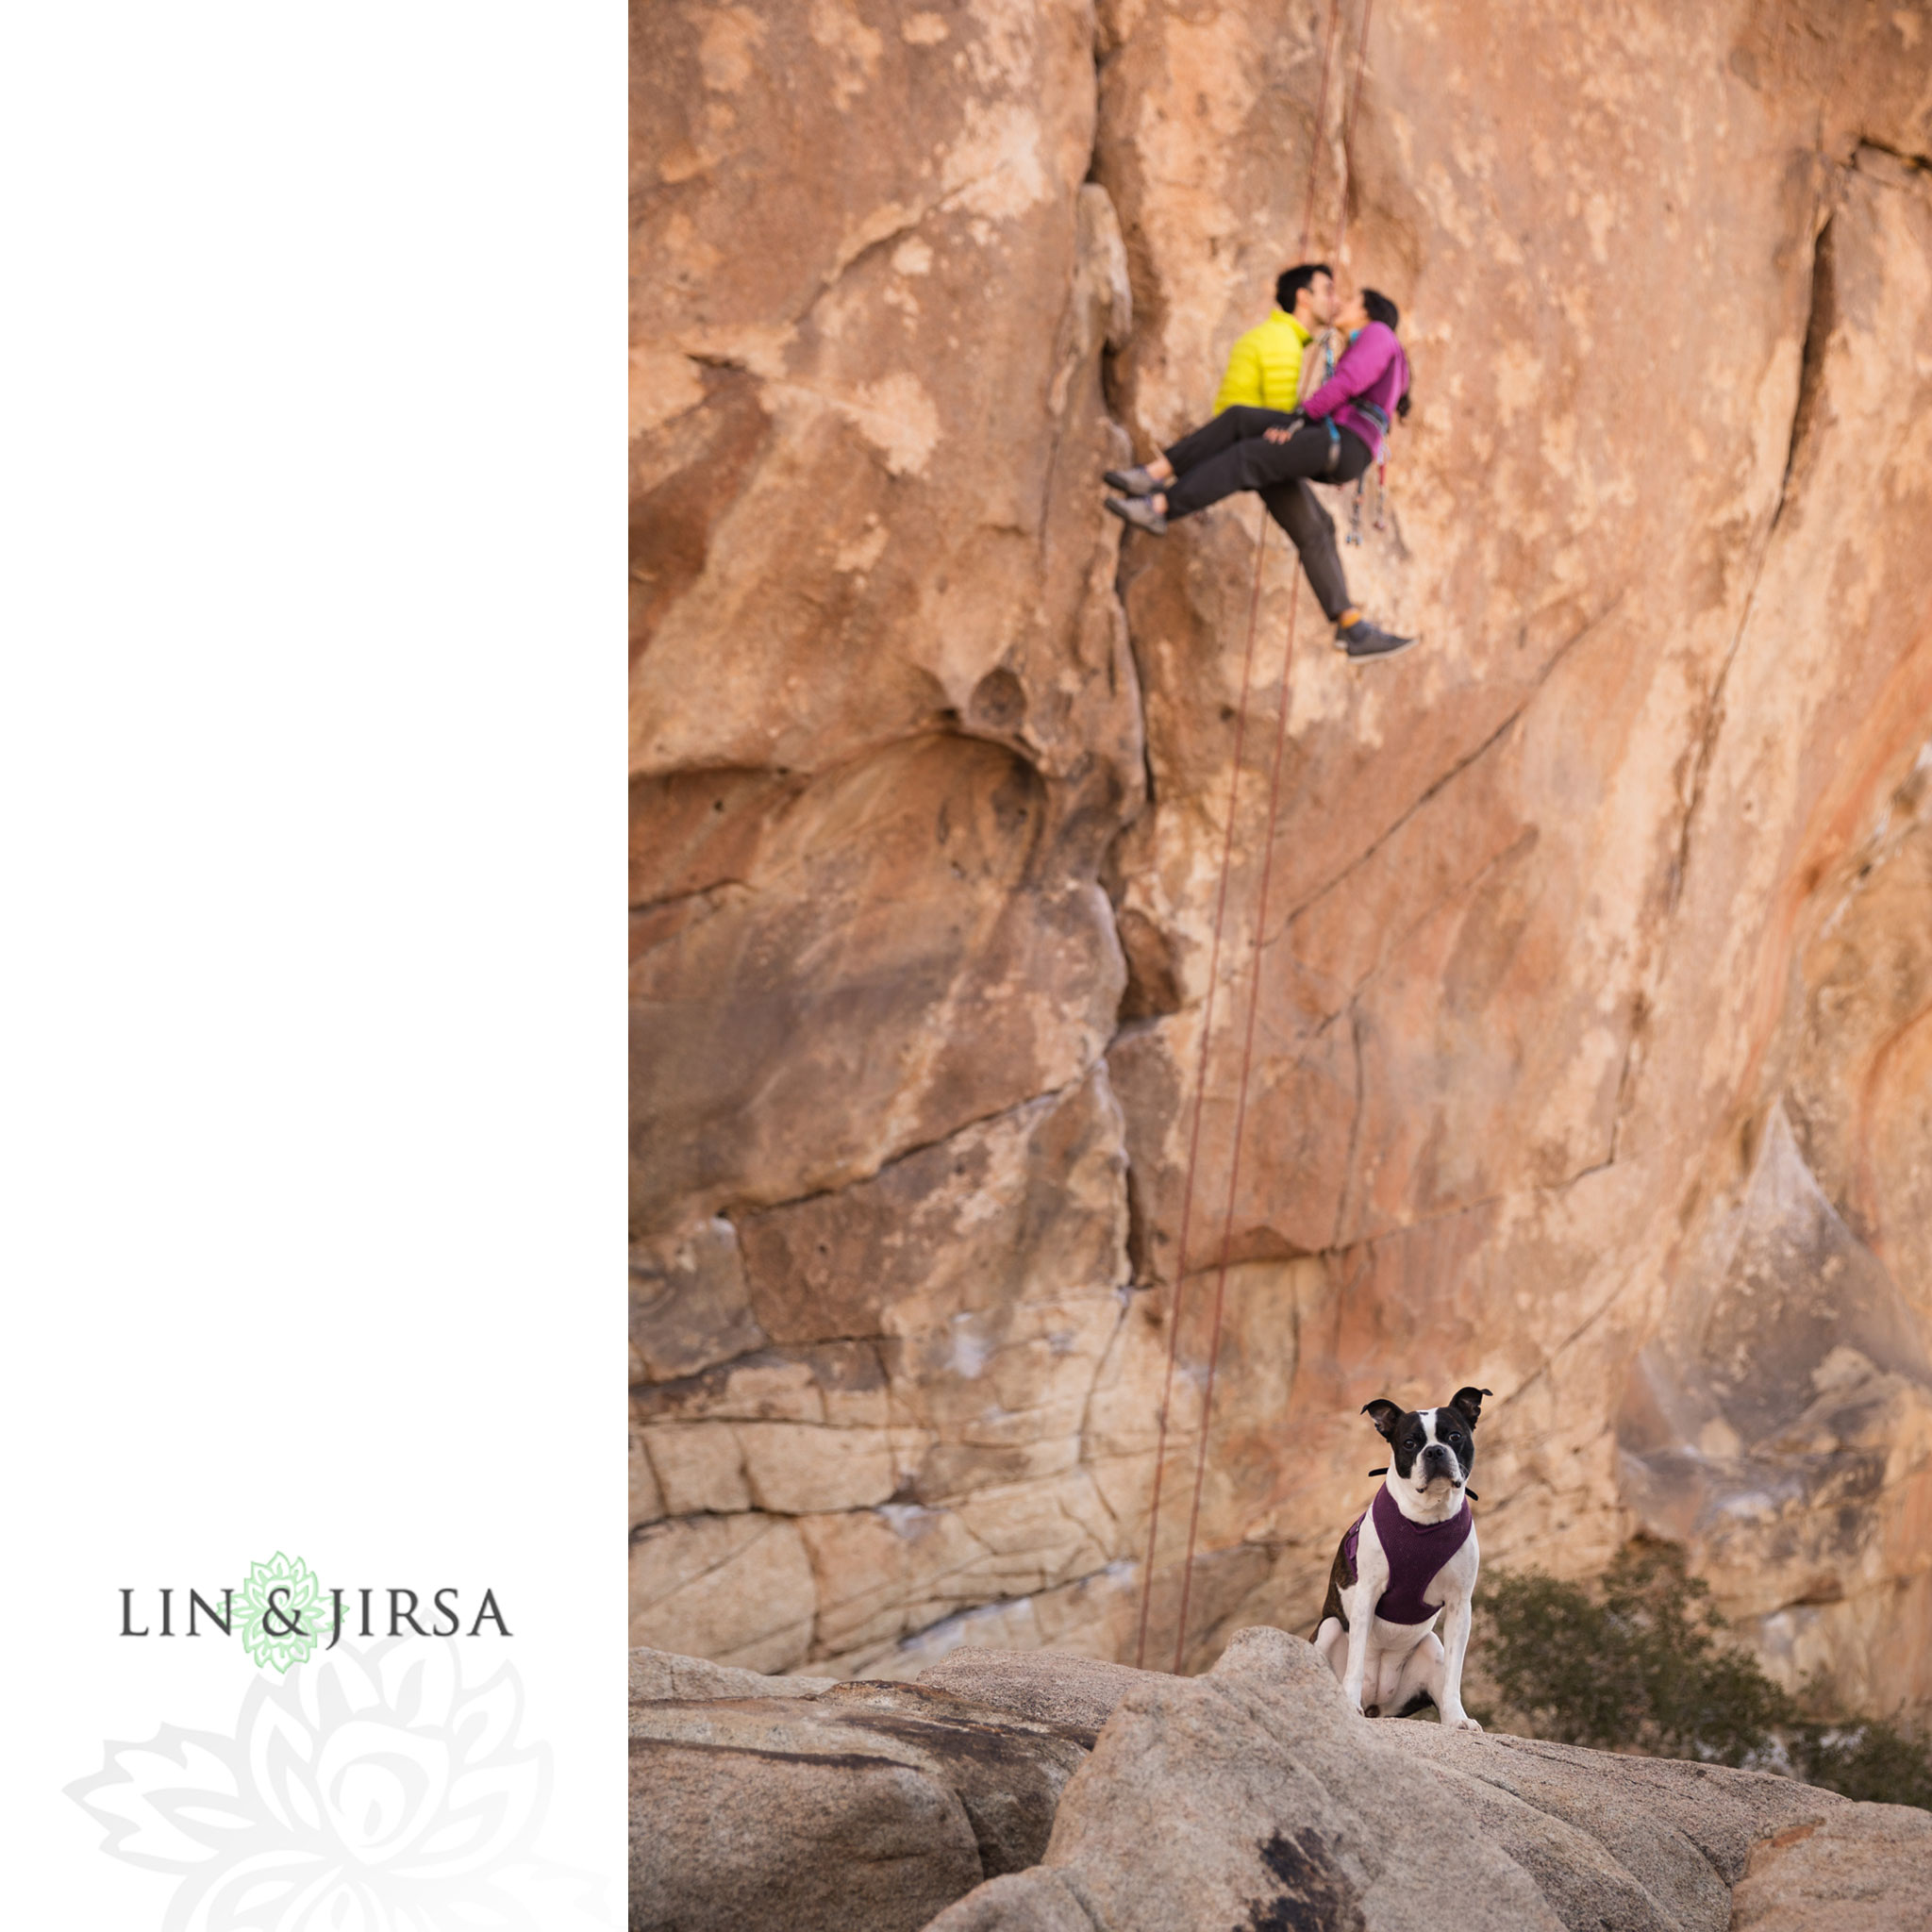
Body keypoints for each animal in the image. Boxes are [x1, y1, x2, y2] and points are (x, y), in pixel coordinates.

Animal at [1313, 1383, 1491, 1731]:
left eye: (1454, 1436)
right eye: (1410, 1443)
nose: (1434, 1451)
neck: (1426, 1519)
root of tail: (1376, 1702)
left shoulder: (1460, 1605)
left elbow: (1454, 1674)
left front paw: (1458, 1718)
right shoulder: (1367, 1594)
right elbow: (1355, 1660)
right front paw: (1348, 1703)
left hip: (1431, 1647)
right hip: (1328, 1627)